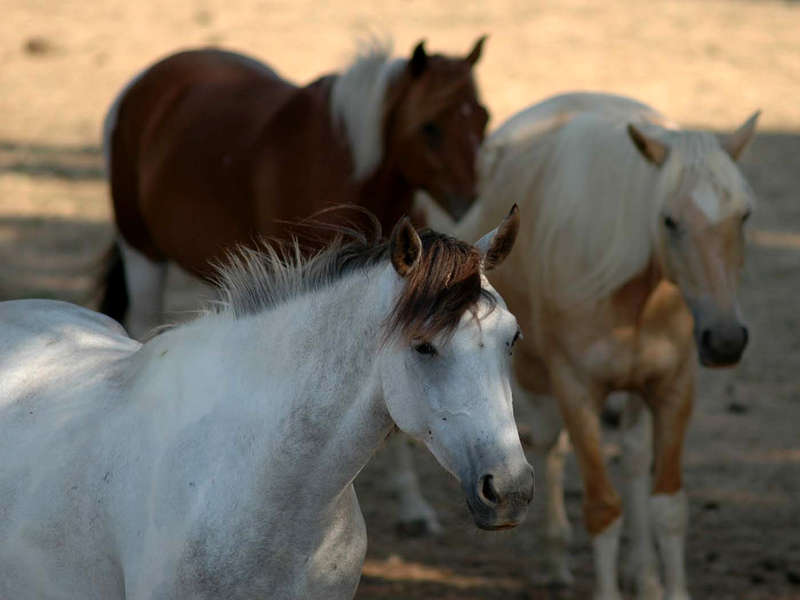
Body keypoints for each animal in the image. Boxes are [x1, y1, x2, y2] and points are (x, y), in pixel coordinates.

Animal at [100, 37, 488, 340]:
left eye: (484, 118)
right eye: (429, 127)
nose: (468, 199)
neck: (348, 168)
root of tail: (141, 86)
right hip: (141, 250)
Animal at [422, 91, 760, 596]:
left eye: (743, 216)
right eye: (669, 221)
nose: (724, 340)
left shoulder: (672, 386)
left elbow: (669, 507)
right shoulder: (576, 389)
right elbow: (602, 508)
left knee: (634, 459)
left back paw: (643, 574)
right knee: (549, 444)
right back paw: (555, 558)